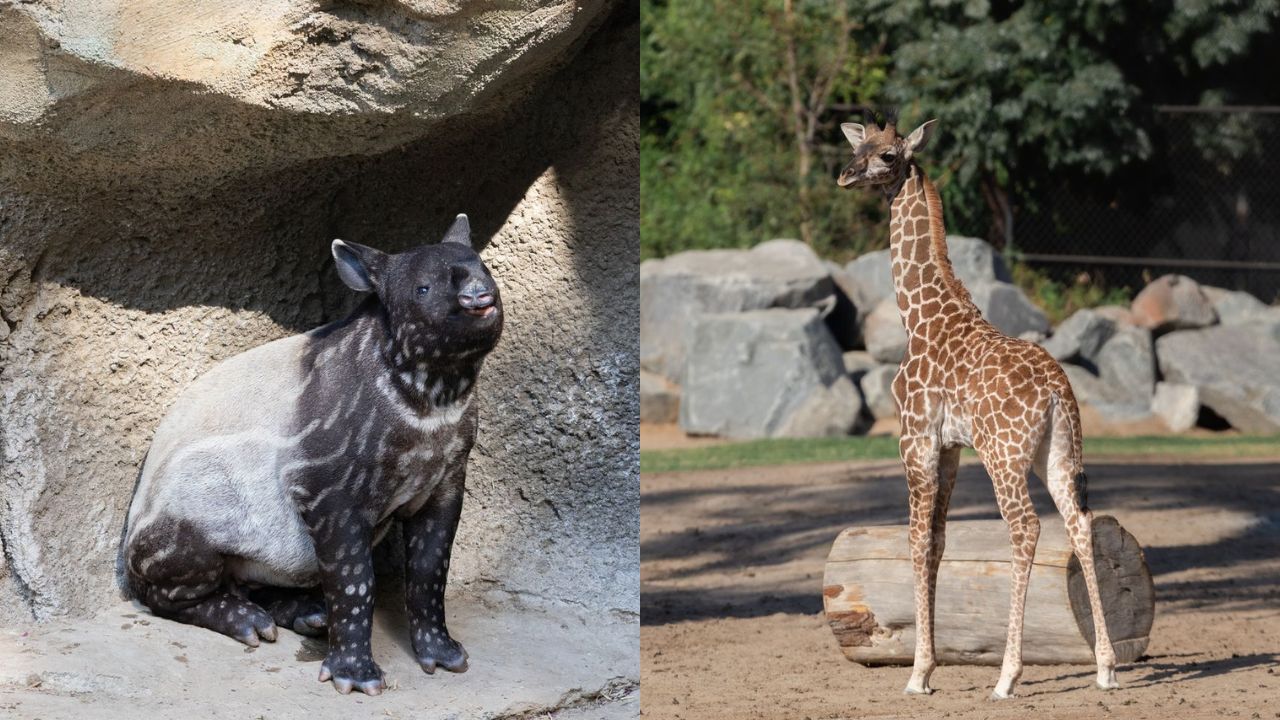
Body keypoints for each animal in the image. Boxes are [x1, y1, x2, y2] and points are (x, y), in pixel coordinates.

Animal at [836, 118, 1119, 699]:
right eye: (857, 145)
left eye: (889, 155)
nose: (846, 175)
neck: (918, 317)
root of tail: (1057, 390)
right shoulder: (950, 449)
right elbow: (938, 542)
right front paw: (928, 667)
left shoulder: (914, 438)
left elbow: (916, 540)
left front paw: (918, 674)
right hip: (1056, 452)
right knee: (1079, 521)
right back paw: (1106, 668)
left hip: (1004, 454)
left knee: (1026, 527)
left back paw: (1007, 677)